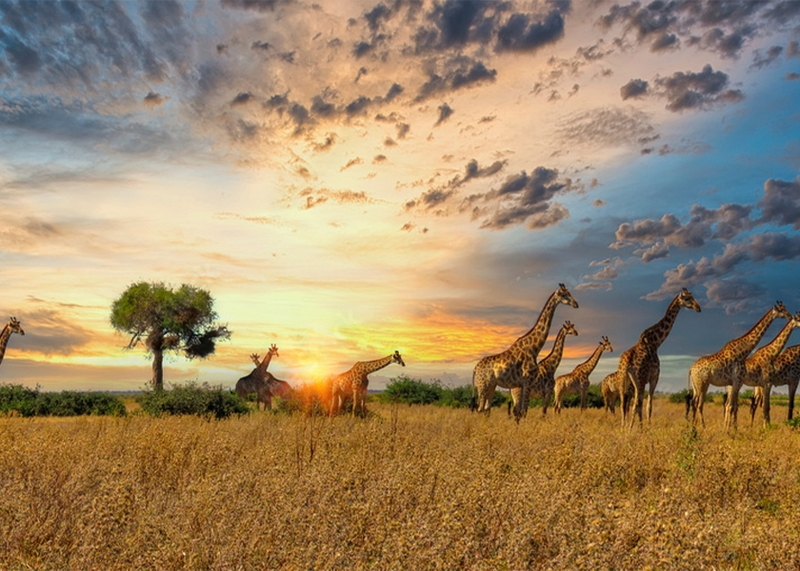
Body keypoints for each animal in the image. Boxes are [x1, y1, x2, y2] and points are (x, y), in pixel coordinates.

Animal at [473, 284, 578, 421]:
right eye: (564, 294)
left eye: (569, 293)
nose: (576, 304)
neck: (534, 348)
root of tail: (475, 368)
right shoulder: (529, 381)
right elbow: (524, 411)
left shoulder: (523, 384)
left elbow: (521, 411)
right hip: (483, 385)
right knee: (480, 409)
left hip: (491, 385)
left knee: (486, 409)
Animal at [617, 288, 701, 428]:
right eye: (687, 298)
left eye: (692, 296)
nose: (698, 307)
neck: (656, 342)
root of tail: (626, 363)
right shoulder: (654, 377)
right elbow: (649, 405)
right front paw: (647, 426)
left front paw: (642, 426)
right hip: (639, 380)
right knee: (635, 403)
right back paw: (630, 428)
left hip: (623, 381)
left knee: (624, 403)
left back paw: (624, 427)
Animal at [689, 301, 791, 429]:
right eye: (781, 310)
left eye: (785, 308)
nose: (790, 316)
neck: (744, 351)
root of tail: (691, 369)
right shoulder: (738, 380)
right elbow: (732, 406)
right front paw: (728, 430)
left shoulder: (734, 382)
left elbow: (731, 406)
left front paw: (730, 428)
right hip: (702, 384)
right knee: (699, 404)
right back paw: (703, 427)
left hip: (696, 385)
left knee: (694, 403)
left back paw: (693, 426)